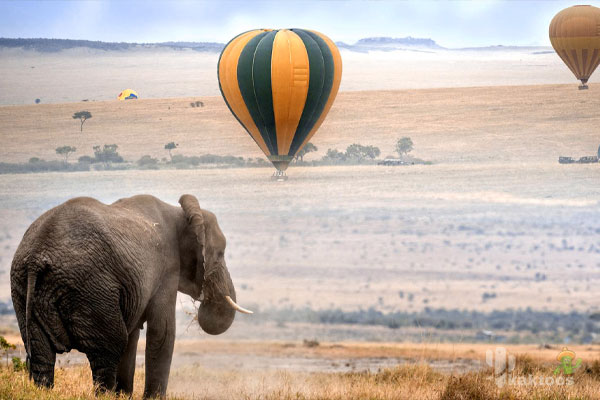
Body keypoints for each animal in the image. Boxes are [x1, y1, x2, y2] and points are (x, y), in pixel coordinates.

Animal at [10, 193, 252, 396]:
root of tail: (36, 258)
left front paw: (124, 395)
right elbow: (162, 332)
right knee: (109, 348)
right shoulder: (166, 269)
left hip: (23, 289)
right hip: (90, 288)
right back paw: (105, 395)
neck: (180, 213)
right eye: (220, 254)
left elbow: (134, 334)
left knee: (41, 355)